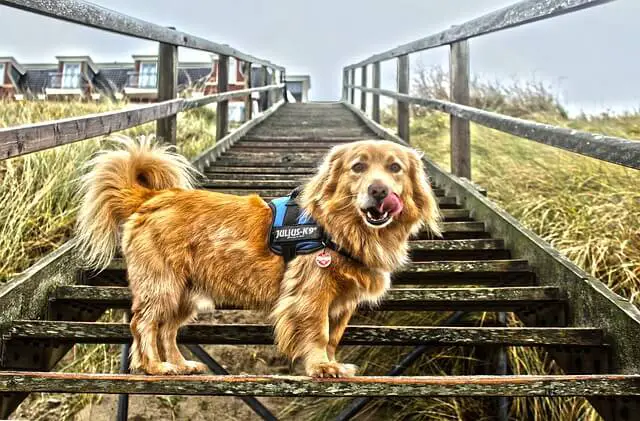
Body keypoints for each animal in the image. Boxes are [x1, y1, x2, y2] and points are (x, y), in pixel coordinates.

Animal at [75, 135, 442, 378]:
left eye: (395, 168)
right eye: (358, 167)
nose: (379, 190)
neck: (342, 226)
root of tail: (153, 197)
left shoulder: (343, 304)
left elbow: (334, 337)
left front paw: (333, 362)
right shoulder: (311, 295)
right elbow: (319, 333)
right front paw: (321, 366)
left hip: (184, 294)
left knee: (167, 330)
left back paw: (180, 364)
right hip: (162, 286)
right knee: (145, 325)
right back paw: (155, 366)